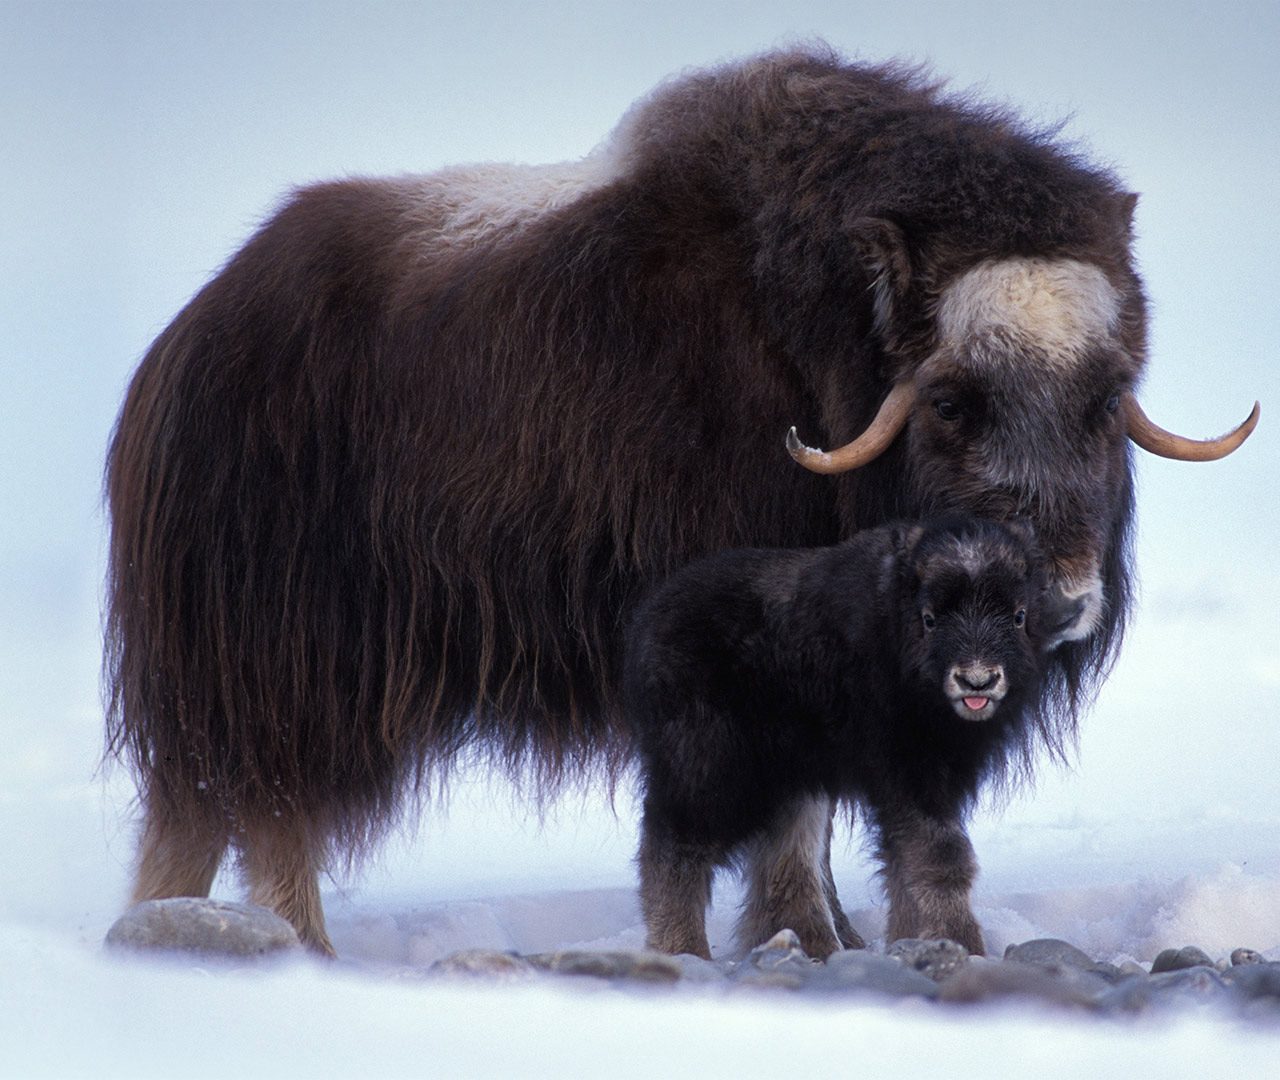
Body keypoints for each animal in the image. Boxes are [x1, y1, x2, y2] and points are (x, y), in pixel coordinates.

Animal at [624, 519, 1064, 957]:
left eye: (1019, 615)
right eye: (929, 618)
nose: (977, 681)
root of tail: (649, 622)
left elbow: (906, 859)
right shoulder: (908, 773)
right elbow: (941, 854)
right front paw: (964, 944)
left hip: (792, 777)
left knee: (786, 853)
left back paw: (811, 944)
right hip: (708, 769)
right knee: (675, 845)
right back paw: (683, 948)